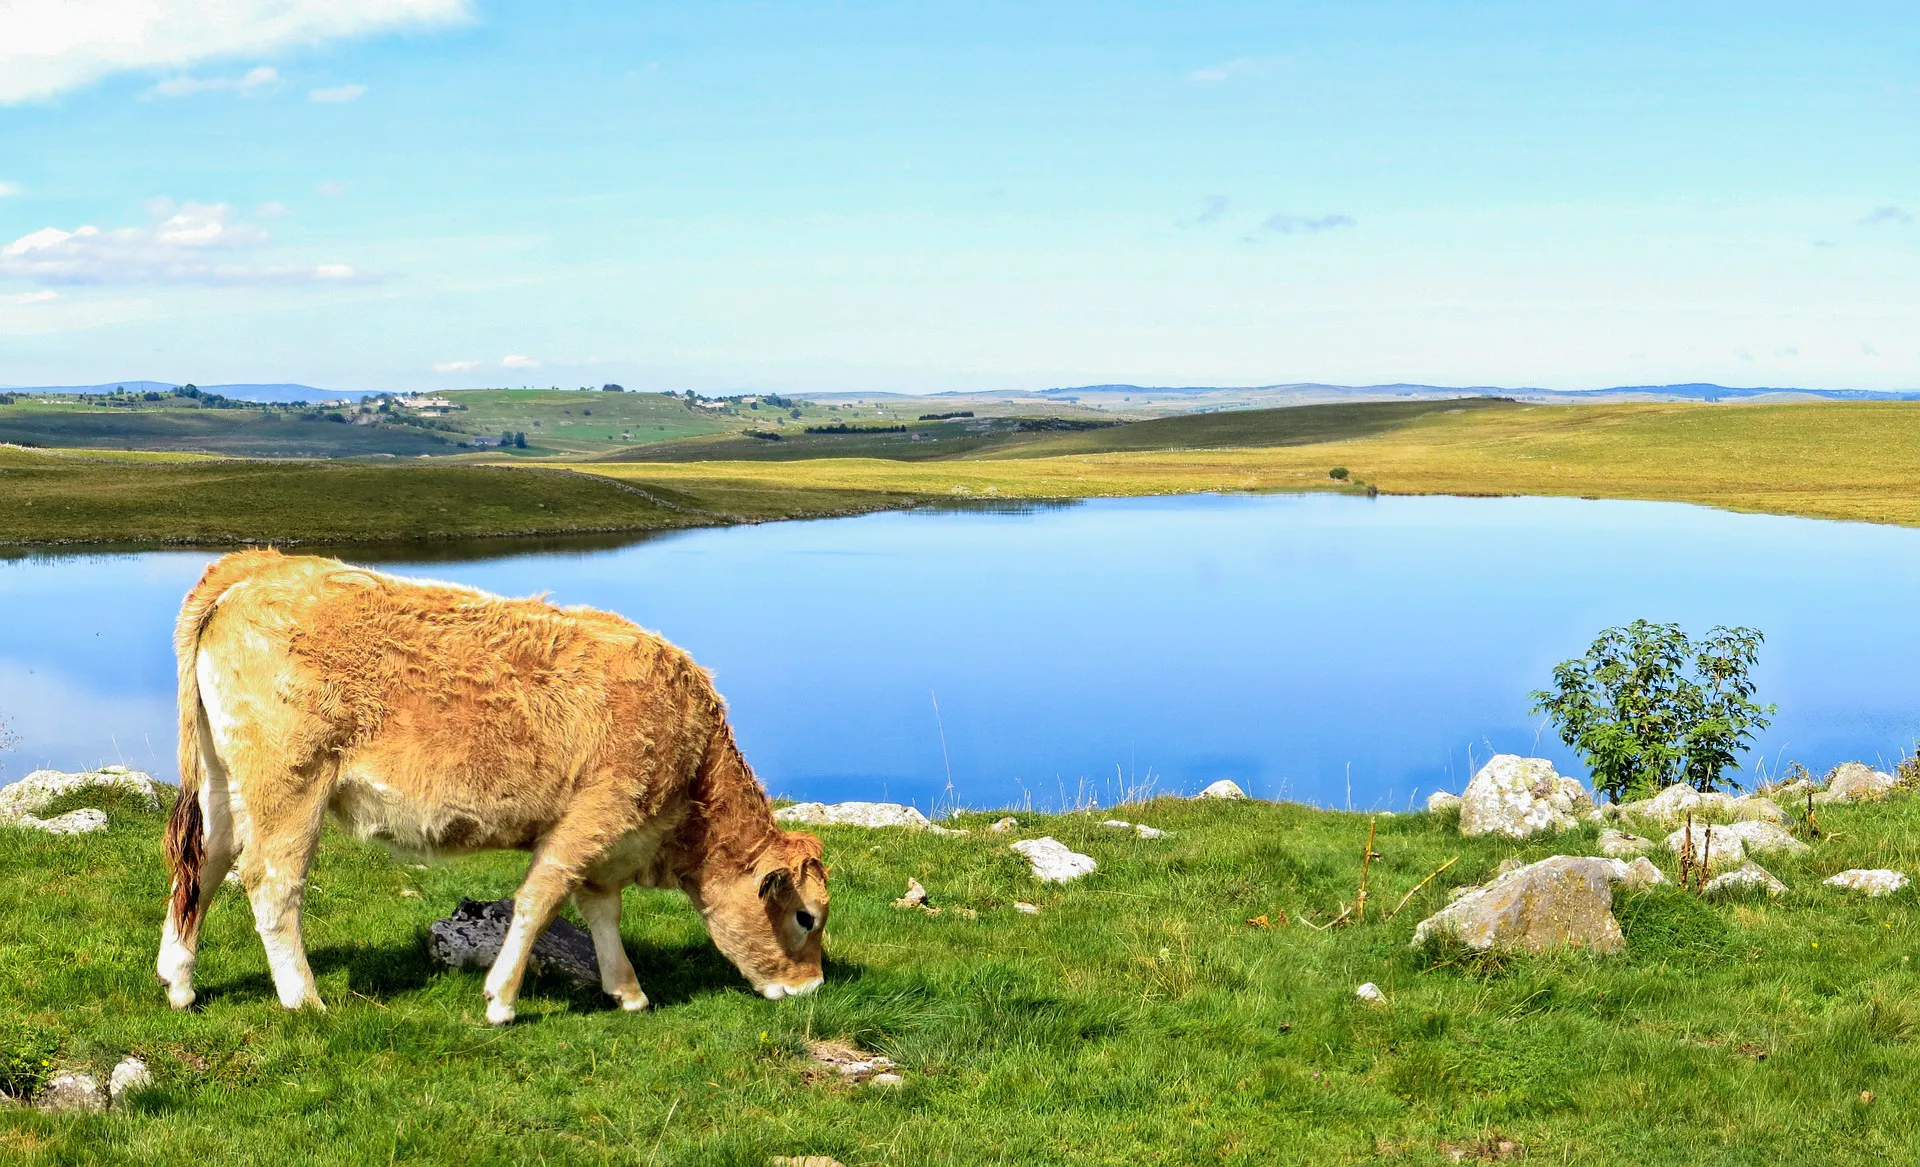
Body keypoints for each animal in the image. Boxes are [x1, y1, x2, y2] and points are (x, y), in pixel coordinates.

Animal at [153, 548, 829, 1021]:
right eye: (806, 917)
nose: (813, 987)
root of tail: (259, 565)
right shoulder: (595, 815)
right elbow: (540, 900)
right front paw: (501, 1000)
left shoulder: (609, 839)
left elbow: (601, 911)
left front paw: (627, 991)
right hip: (290, 784)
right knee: (272, 882)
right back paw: (304, 999)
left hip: (225, 780)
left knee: (203, 864)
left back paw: (178, 982)